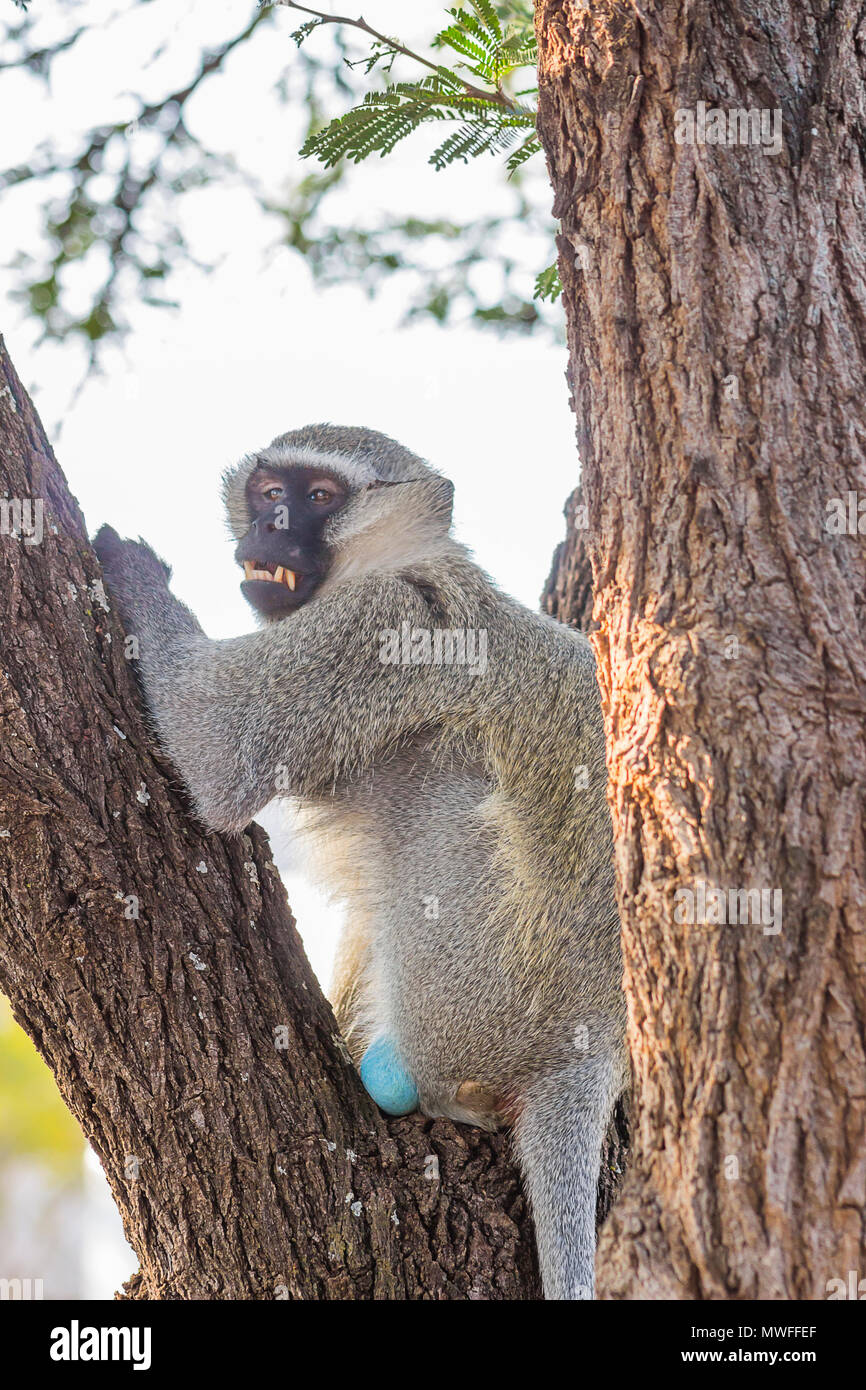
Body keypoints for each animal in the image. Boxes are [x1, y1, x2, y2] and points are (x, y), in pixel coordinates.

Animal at [94, 425, 625, 1301]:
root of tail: (600, 1050)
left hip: (497, 990)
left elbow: (218, 752)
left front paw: (131, 567)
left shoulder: (382, 625)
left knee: (443, 795)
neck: (399, 562)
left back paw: (418, 1084)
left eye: (319, 497)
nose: (269, 528)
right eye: (269, 491)